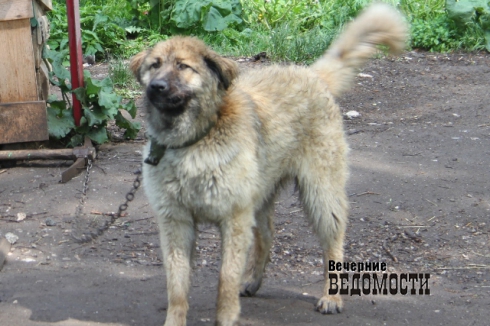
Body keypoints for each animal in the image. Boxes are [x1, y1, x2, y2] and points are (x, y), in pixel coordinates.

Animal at [129, 3, 406, 324]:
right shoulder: (176, 222)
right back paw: (253, 280)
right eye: (155, 65)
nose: (157, 87)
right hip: (261, 196)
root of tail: (312, 75)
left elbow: (226, 279)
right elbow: (177, 286)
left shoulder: (234, 219)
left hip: (321, 194)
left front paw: (226, 317)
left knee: (333, 243)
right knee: (267, 236)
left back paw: (331, 297)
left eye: (183, 66)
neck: (196, 139)